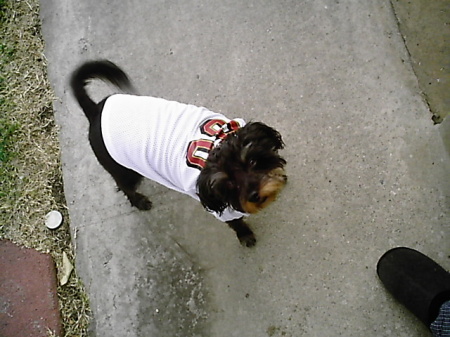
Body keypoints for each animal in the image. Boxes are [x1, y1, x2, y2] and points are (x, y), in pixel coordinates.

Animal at [70, 59, 288, 245]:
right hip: (126, 170)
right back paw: (139, 201)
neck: (216, 141)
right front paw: (245, 235)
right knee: (124, 186)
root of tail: (95, 111)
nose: (254, 196)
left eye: (252, 161)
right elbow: (236, 223)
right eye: (228, 184)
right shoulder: (223, 209)